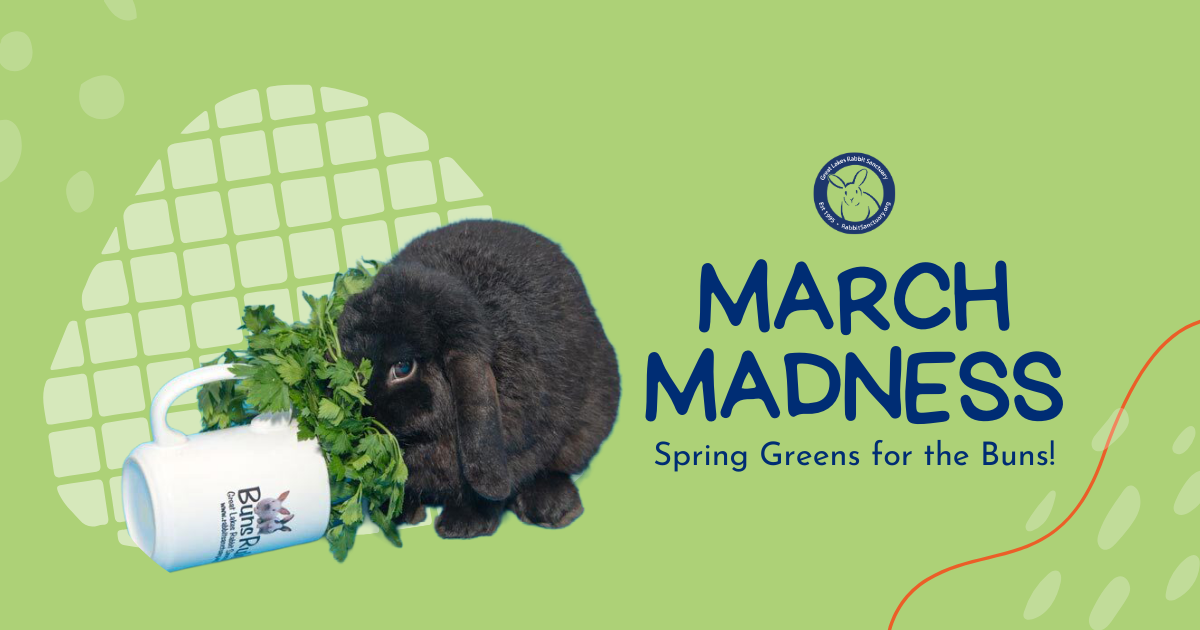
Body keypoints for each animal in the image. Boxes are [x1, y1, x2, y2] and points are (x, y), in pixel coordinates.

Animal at [338, 219, 620, 539]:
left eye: (403, 367)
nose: (359, 414)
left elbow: (486, 492)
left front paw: (462, 525)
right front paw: (399, 511)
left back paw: (549, 508)